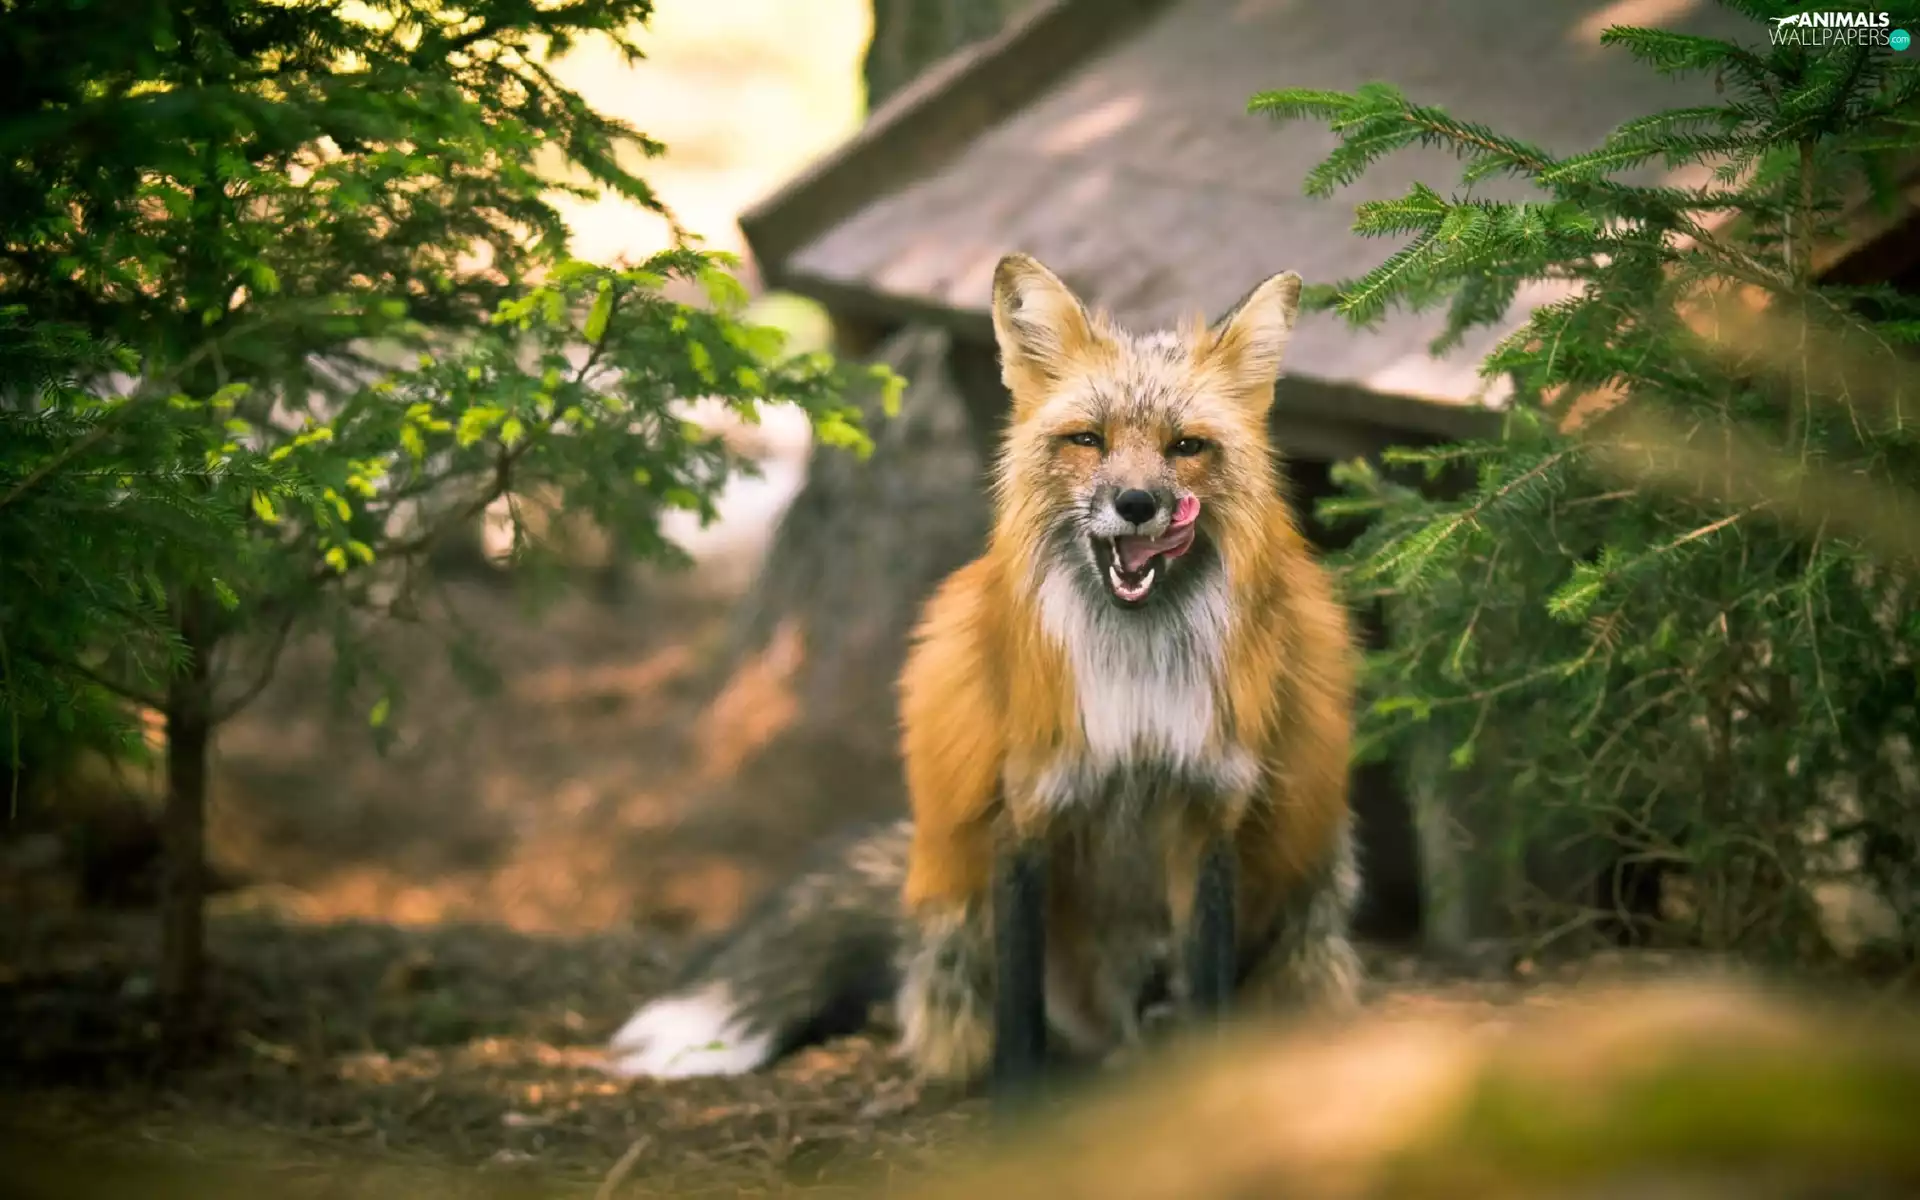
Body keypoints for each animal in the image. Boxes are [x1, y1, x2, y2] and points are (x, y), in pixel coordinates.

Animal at [604, 253, 1362, 1086]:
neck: (1135, 683)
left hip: (1306, 900)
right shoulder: (1025, 808)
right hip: (960, 909)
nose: (1136, 503)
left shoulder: (1208, 813)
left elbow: (1211, 993)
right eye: (1088, 439)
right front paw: (1018, 1106)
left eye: (1186, 446)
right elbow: (1019, 1016)